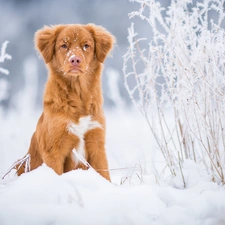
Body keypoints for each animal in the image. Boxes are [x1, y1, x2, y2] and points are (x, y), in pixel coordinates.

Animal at [13, 23, 115, 181]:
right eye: (64, 45)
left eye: (86, 45)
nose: (75, 60)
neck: (78, 96)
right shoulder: (54, 149)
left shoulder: (97, 143)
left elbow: (104, 175)